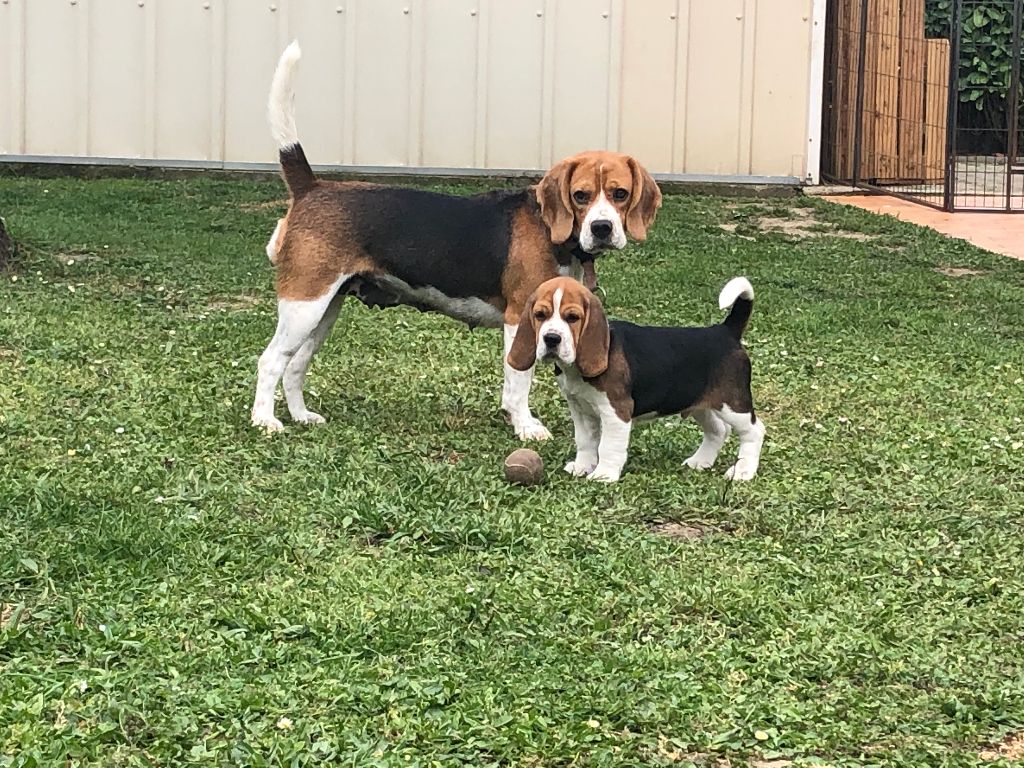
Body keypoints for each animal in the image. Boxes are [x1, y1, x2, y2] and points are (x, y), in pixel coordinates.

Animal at [251, 43, 659, 438]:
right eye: (580, 195)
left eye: (620, 194)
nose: (603, 228)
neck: (550, 229)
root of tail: (312, 187)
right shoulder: (521, 318)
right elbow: (519, 381)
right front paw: (524, 425)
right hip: (304, 305)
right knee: (271, 360)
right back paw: (264, 421)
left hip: (324, 308)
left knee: (294, 365)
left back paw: (301, 416)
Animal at [507, 276, 765, 481]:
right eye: (540, 315)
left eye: (572, 317)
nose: (551, 339)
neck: (576, 369)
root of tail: (725, 331)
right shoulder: (580, 408)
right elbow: (585, 441)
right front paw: (582, 467)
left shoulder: (616, 411)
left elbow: (609, 446)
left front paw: (604, 475)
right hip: (698, 403)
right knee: (718, 430)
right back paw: (700, 461)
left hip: (733, 404)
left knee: (754, 431)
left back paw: (743, 472)